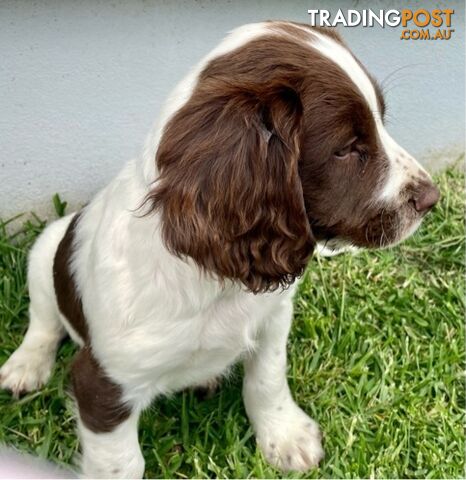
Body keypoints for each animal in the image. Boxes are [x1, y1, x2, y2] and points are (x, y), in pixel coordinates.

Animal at [0, 21, 438, 476]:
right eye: (347, 148)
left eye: (381, 123)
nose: (432, 198)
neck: (216, 278)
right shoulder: (103, 381)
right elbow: (122, 463)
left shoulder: (273, 317)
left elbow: (267, 380)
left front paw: (286, 437)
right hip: (46, 250)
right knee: (43, 320)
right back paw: (26, 366)